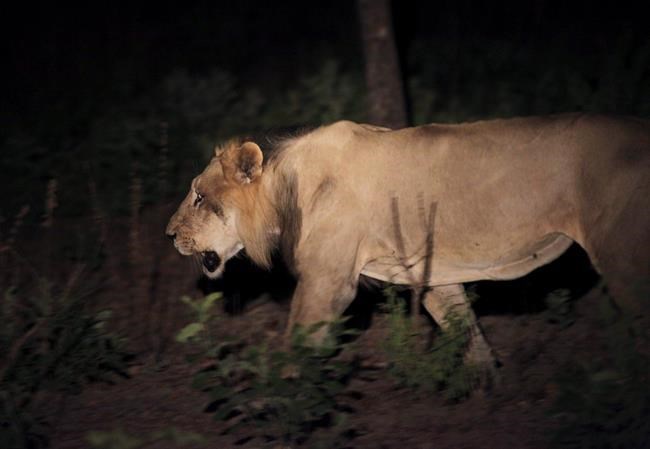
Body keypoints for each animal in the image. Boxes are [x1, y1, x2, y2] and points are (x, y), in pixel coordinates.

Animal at [166, 113, 650, 370]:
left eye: (198, 196)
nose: (169, 234)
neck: (284, 192)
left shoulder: (327, 281)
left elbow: (298, 345)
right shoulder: (430, 276)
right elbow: (466, 333)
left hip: (624, 259)